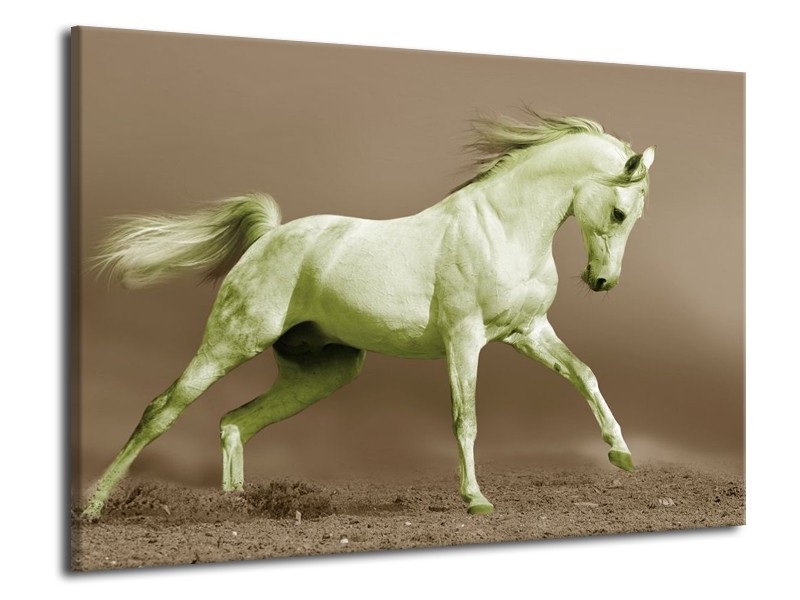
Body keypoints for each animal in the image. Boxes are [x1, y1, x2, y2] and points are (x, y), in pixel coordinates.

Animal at [81, 111, 655, 519]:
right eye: (620, 212)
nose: (602, 281)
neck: (501, 228)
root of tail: (270, 235)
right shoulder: (464, 339)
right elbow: (465, 418)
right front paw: (475, 499)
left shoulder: (528, 332)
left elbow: (584, 374)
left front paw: (622, 455)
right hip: (230, 342)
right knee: (162, 410)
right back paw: (93, 506)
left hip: (323, 372)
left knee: (235, 422)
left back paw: (236, 506)